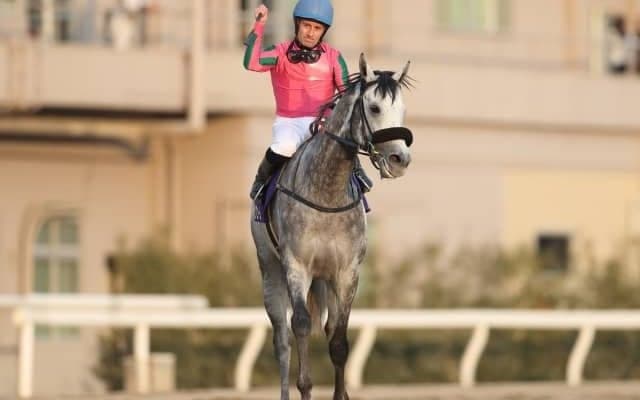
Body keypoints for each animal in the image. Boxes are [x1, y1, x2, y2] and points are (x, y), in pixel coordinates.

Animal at [250, 53, 413, 400]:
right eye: (374, 108)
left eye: (402, 109)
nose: (400, 160)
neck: (327, 190)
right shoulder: (296, 266)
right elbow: (300, 324)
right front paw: (305, 387)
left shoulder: (347, 271)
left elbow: (338, 339)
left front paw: (342, 394)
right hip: (270, 269)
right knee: (282, 339)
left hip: (324, 278)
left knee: (325, 327)